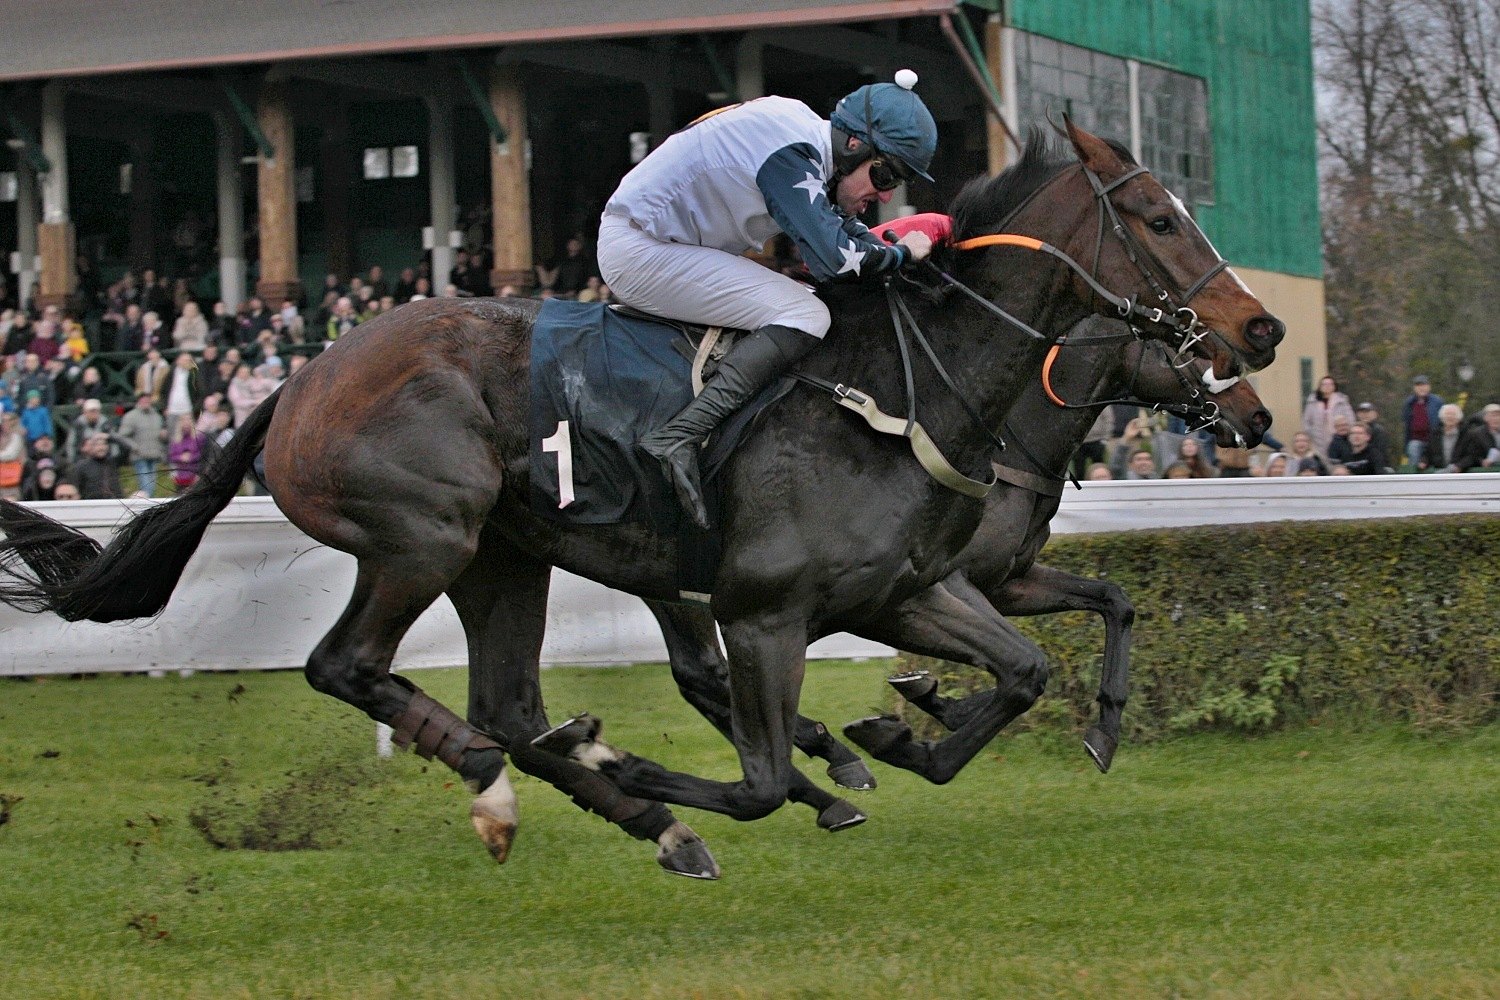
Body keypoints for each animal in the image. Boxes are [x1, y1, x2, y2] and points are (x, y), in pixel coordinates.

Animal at [0, 121, 1283, 878]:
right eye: (1158, 217)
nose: (1262, 339)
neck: (906, 386)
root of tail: (298, 378)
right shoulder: (770, 608)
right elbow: (756, 779)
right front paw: (812, 757)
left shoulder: (908, 589)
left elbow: (1028, 667)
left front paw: (899, 732)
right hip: (426, 532)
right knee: (349, 666)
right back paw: (512, 789)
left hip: (506, 555)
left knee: (510, 700)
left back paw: (627, 808)